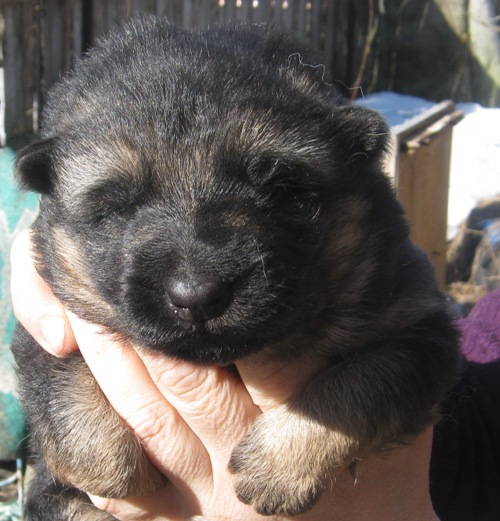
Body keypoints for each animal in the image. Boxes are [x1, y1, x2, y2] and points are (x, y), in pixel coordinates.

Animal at [12, 17, 460, 519]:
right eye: (113, 209)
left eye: (285, 192)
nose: (197, 297)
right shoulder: (52, 315)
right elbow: (58, 372)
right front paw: (109, 463)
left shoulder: (419, 325)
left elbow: (365, 384)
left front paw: (278, 466)